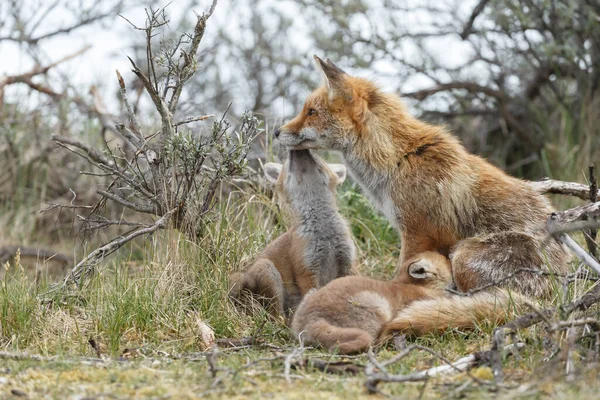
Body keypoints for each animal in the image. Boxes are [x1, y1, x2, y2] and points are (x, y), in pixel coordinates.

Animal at [227, 148, 354, 318]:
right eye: (287, 164)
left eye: (317, 156)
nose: (296, 149)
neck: (326, 235)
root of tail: (246, 273)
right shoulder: (306, 271)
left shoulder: (347, 263)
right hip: (268, 271)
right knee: (275, 315)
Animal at [274, 55, 568, 334]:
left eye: (311, 112)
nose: (277, 131)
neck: (397, 159)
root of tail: (555, 294)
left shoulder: (417, 231)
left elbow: (401, 273)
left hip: (464, 255)